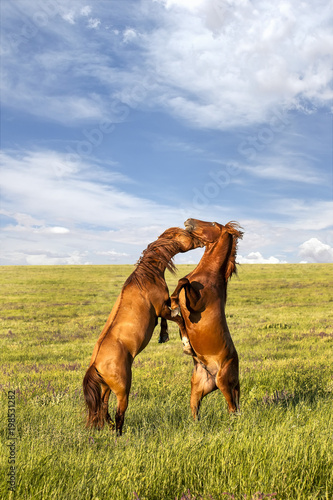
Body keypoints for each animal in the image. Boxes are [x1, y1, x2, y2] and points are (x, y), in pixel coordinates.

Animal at [82, 227, 202, 434]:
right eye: (187, 234)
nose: (202, 239)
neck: (146, 278)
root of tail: (95, 365)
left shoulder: (163, 308)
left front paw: (164, 336)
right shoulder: (162, 308)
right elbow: (179, 316)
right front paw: (187, 345)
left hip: (106, 388)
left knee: (104, 409)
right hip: (122, 390)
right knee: (118, 414)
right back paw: (119, 435)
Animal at [170, 219, 243, 418]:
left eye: (213, 224)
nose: (188, 221)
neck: (208, 276)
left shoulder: (196, 305)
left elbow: (182, 281)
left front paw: (174, 305)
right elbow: (178, 319)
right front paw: (187, 345)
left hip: (224, 383)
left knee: (232, 408)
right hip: (196, 390)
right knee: (196, 414)